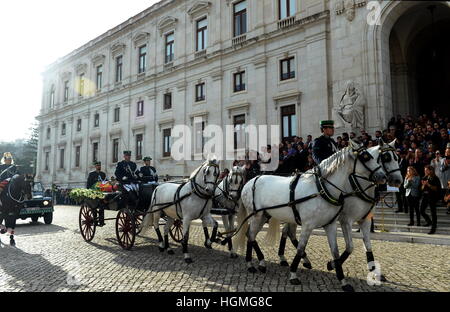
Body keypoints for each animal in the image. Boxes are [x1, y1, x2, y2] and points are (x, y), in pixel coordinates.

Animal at [236, 140, 386, 292]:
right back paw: (251, 264)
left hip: (264, 216)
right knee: (251, 235)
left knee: (251, 235)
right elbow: (301, 248)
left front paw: (342, 280)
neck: (321, 189)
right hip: (256, 216)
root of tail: (250, 181)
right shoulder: (308, 225)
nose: (383, 176)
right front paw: (293, 274)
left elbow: (336, 252)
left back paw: (260, 262)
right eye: (366, 157)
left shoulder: (330, 225)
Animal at [278, 141, 404, 282]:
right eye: (386, 157)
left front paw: (374, 271)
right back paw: (288, 258)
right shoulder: (346, 220)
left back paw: (297, 259)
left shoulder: (365, 220)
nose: (398, 181)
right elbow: (350, 247)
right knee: (288, 232)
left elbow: (368, 245)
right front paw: (332, 264)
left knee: (288, 232)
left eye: (397, 158)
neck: (358, 186)